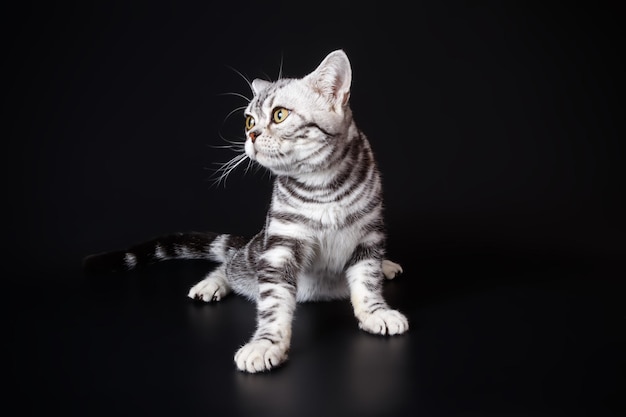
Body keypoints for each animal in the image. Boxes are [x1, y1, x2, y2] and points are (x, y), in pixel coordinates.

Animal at [84, 50, 410, 372]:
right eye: (249, 121)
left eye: (279, 114)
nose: (251, 134)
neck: (323, 186)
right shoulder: (280, 245)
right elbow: (273, 304)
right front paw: (266, 345)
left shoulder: (369, 236)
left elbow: (367, 283)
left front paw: (375, 313)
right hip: (255, 253)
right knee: (231, 263)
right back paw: (211, 283)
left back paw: (386, 265)